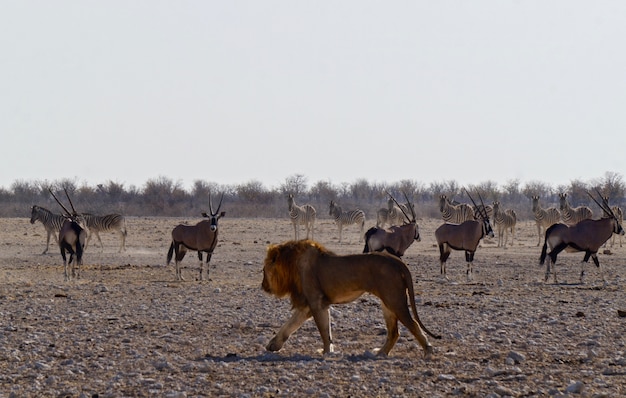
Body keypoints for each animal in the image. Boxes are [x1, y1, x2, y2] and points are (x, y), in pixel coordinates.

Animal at [258, 239, 438, 358]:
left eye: (263, 270)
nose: (263, 286)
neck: (292, 265)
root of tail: (394, 259)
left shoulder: (316, 302)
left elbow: (323, 330)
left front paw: (326, 352)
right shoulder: (310, 305)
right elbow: (290, 324)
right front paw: (273, 345)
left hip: (394, 299)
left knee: (412, 324)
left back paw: (428, 351)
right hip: (387, 303)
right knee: (394, 332)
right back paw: (380, 353)